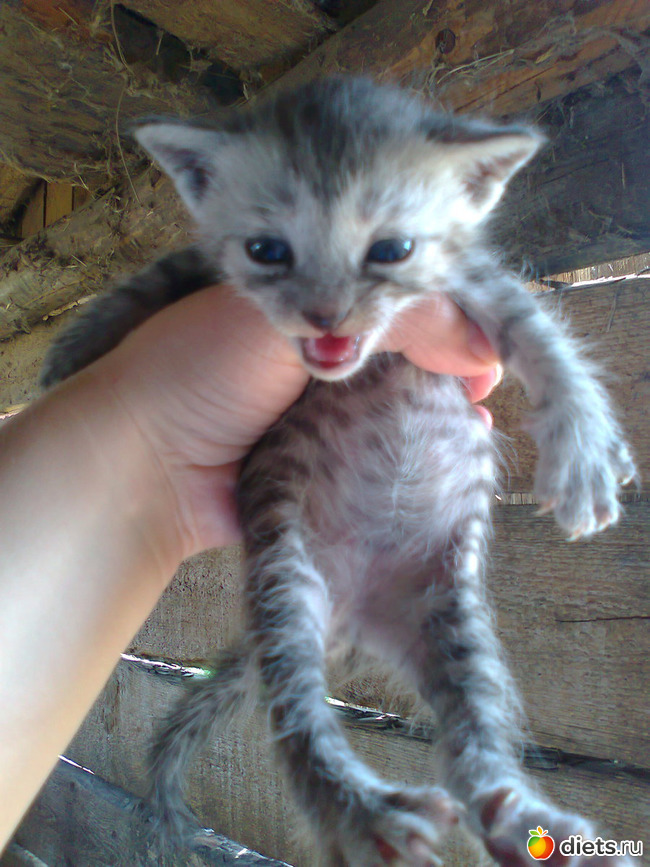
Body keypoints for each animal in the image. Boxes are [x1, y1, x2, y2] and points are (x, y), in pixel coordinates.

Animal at [41, 77, 636, 866]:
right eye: (267, 250)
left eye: (391, 249)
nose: (325, 316)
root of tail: (353, 618)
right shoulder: (208, 271)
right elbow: (158, 279)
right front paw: (75, 352)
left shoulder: (469, 277)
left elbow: (534, 329)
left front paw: (584, 447)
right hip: (285, 587)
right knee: (300, 723)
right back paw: (365, 811)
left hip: (450, 611)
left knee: (472, 741)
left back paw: (516, 815)